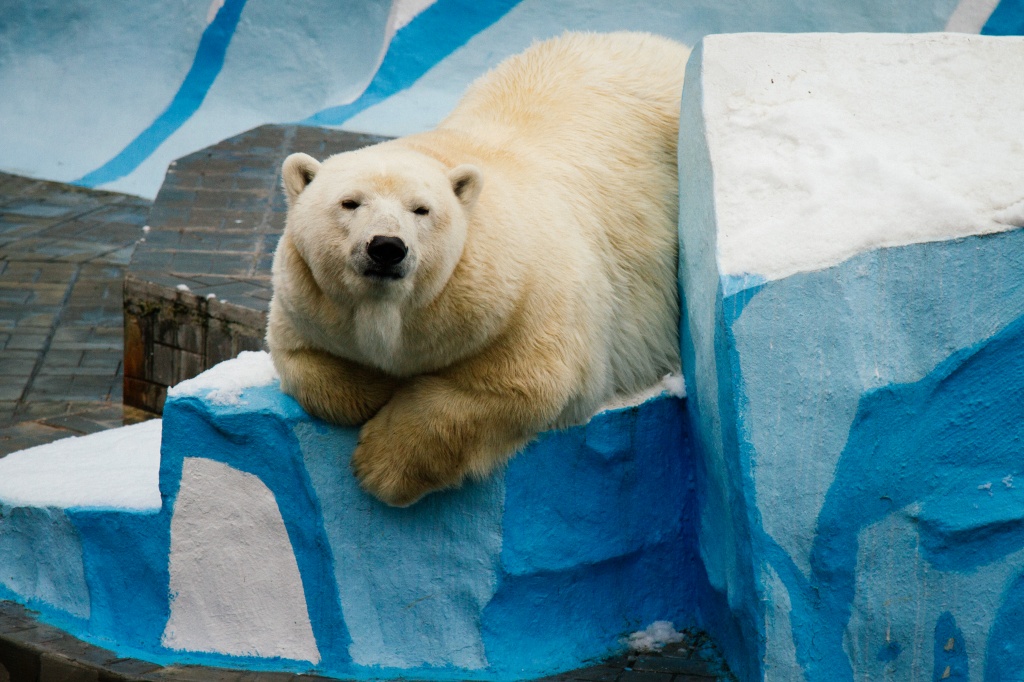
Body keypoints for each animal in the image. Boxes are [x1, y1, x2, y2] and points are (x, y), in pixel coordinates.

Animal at [268, 31, 692, 501]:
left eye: (421, 209)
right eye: (349, 202)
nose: (386, 248)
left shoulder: (520, 299)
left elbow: (522, 383)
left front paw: (383, 465)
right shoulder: (307, 303)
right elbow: (304, 361)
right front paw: (376, 384)